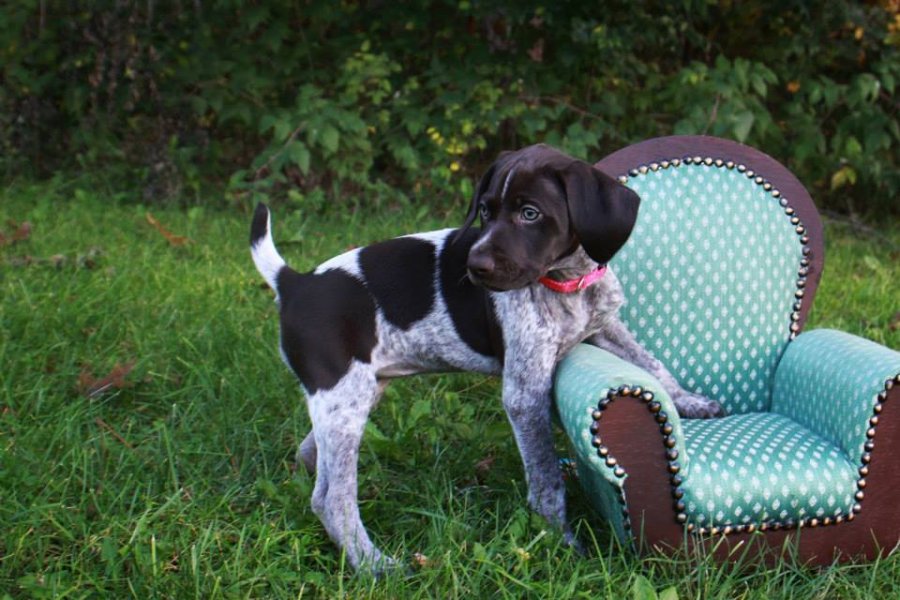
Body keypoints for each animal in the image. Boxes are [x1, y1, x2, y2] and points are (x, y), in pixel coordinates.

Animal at [248, 143, 724, 568]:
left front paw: (691, 402)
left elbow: (653, 365)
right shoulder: (525, 393)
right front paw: (563, 543)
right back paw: (374, 565)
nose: (474, 268)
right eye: (485, 212)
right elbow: (547, 478)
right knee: (333, 499)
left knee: (313, 463)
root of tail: (294, 282)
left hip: (350, 397)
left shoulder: (605, 328)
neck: (566, 283)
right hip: (345, 399)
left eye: (530, 213)